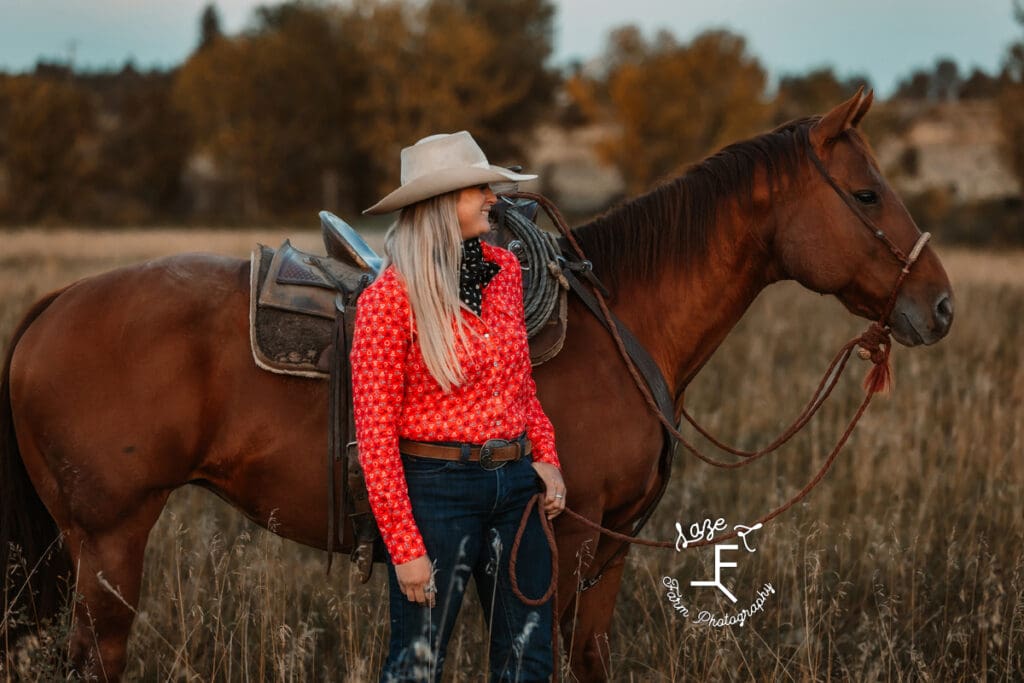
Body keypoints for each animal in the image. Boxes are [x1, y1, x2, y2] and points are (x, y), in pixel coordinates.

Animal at [4, 90, 950, 679]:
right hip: (111, 539)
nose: (938, 304)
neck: (621, 324)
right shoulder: (563, 540)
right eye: (867, 193)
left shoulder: (606, 552)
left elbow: (589, 660)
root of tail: (53, 304)